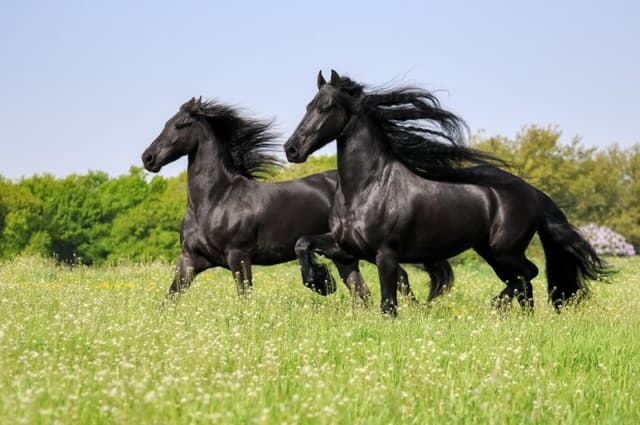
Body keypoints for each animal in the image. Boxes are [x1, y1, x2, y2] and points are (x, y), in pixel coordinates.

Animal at [141, 97, 452, 302]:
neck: (214, 200)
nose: (148, 158)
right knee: (361, 291)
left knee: (400, 279)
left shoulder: (238, 257)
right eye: (167, 122)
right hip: (346, 256)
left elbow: (244, 298)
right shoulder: (190, 260)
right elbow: (170, 298)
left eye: (180, 125)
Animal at [284, 70, 608, 317]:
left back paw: (497, 306)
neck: (366, 188)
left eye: (325, 107)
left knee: (528, 274)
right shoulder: (346, 246)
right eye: (308, 106)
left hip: (505, 250)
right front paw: (318, 281)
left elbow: (389, 304)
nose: (291, 149)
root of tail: (533, 192)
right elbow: (303, 243)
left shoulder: (386, 254)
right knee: (524, 282)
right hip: (492, 253)